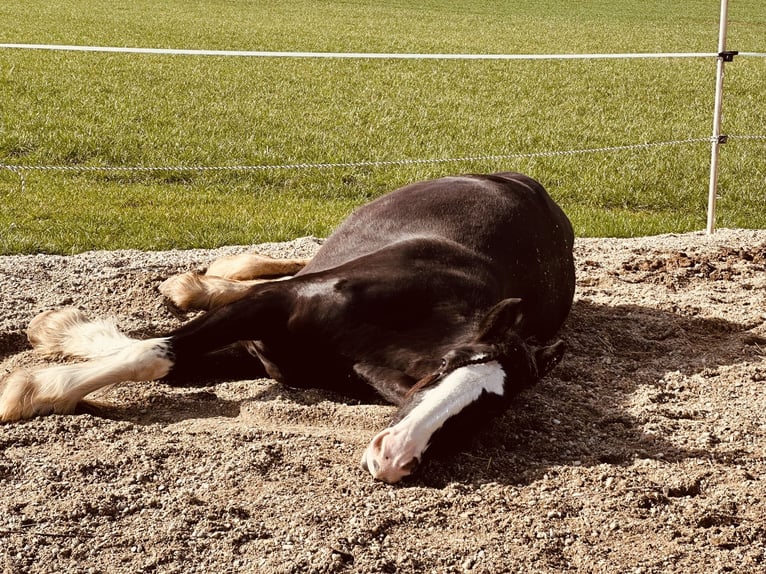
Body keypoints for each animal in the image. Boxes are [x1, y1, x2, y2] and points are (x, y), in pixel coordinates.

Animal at [0, 172, 576, 486]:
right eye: (446, 367)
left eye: (487, 414)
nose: (393, 458)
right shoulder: (269, 310)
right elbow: (155, 353)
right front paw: (31, 387)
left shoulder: (264, 353)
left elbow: (159, 358)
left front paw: (58, 335)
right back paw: (193, 283)